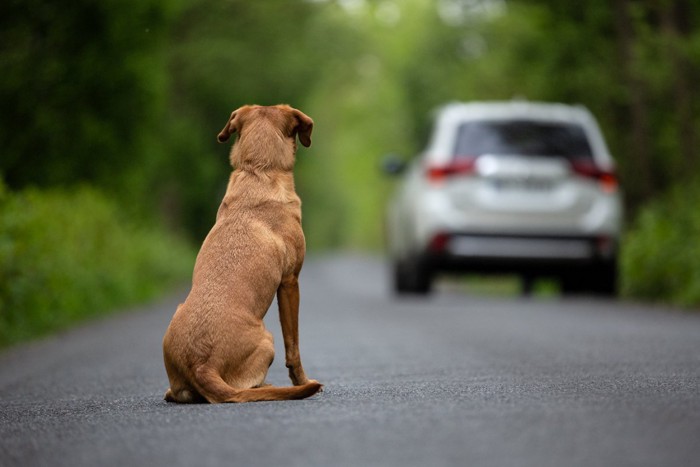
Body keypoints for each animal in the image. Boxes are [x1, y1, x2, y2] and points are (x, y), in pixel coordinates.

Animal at [162, 104, 322, 404]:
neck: (258, 170)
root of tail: (201, 365)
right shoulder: (290, 282)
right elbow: (293, 346)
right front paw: (303, 380)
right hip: (267, 339)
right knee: (248, 387)